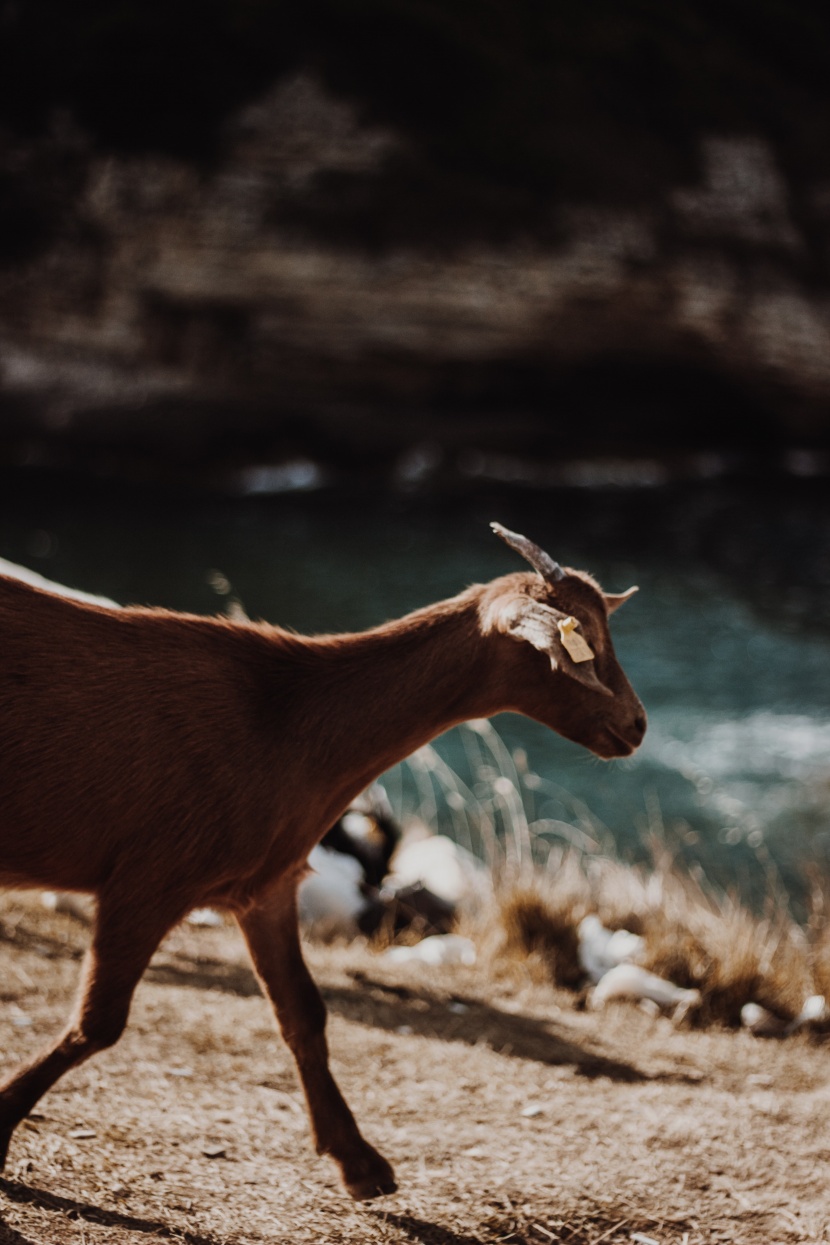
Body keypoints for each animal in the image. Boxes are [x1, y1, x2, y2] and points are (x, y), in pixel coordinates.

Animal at [0, 522, 647, 1195]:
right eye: (581, 642)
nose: (636, 724)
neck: (288, 721)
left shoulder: (264, 887)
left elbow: (304, 1014)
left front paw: (359, 1161)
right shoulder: (149, 880)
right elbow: (98, 1023)